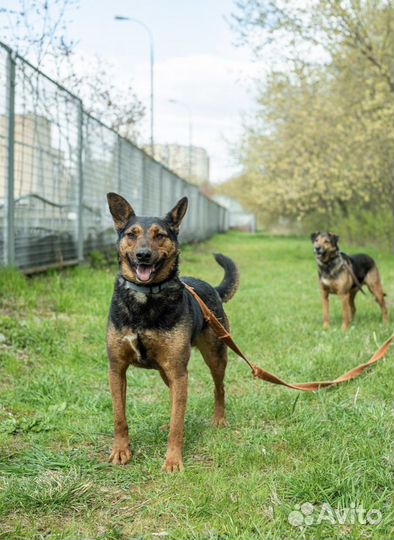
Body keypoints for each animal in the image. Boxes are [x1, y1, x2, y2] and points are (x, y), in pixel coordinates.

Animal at [106, 194, 239, 472]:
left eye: (160, 235)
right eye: (132, 234)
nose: (143, 255)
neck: (146, 297)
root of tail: (211, 287)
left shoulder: (179, 371)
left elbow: (178, 424)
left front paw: (173, 460)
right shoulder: (116, 368)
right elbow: (119, 416)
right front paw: (121, 450)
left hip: (215, 357)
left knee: (218, 388)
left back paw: (219, 419)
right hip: (168, 372)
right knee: (174, 400)